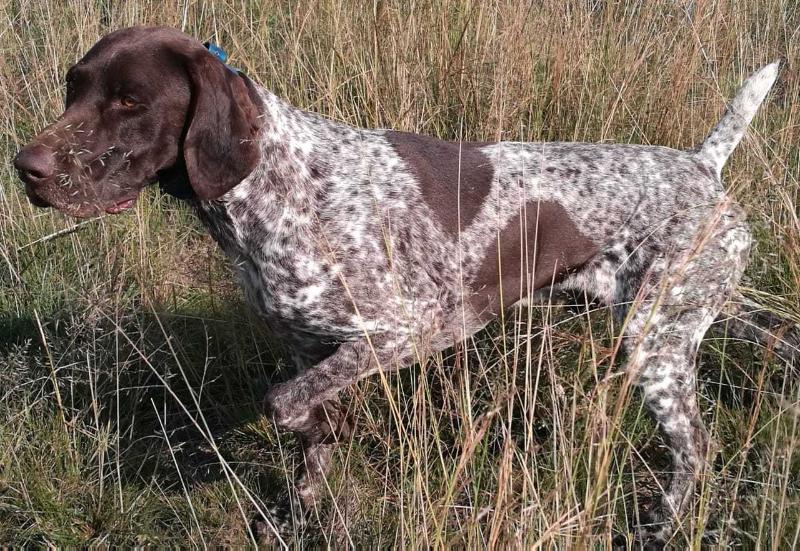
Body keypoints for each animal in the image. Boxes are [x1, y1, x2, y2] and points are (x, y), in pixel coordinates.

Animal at [14, 24, 800, 544]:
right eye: (73, 87)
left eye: (129, 101)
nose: (27, 168)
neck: (276, 185)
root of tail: (703, 166)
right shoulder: (308, 348)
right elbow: (309, 438)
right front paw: (301, 513)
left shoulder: (407, 329)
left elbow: (284, 406)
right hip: (696, 311)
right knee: (774, 336)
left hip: (653, 342)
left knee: (695, 446)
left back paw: (662, 524)